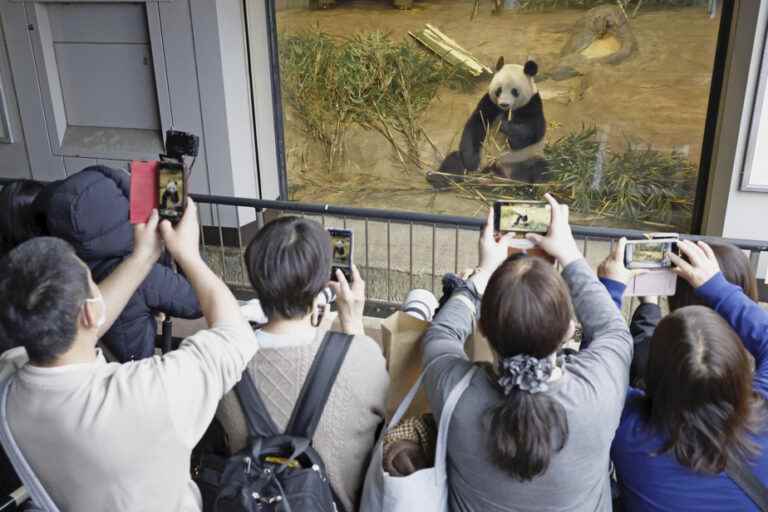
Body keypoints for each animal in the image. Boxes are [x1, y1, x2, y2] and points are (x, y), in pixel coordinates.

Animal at [428, 58, 548, 186]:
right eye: (499, 90)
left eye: (514, 91)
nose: (504, 104)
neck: (506, 111)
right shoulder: (489, 103)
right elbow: (476, 125)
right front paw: (471, 162)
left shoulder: (532, 105)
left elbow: (529, 133)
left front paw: (505, 125)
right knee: (454, 159)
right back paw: (438, 178)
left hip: (525, 159)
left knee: (540, 167)